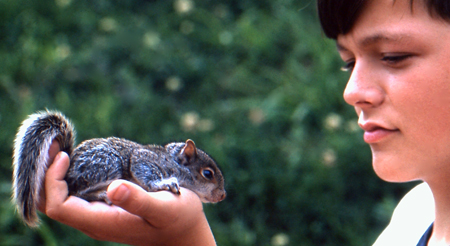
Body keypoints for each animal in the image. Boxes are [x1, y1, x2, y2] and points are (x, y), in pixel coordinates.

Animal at [12, 110, 227, 228]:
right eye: (207, 174)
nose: (223, 195)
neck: (172, 162)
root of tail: (69, 166)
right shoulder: (142, 159)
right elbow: (146, 172)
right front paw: (163, 183)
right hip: (108, 164)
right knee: (76, 191)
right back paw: (100, 195)